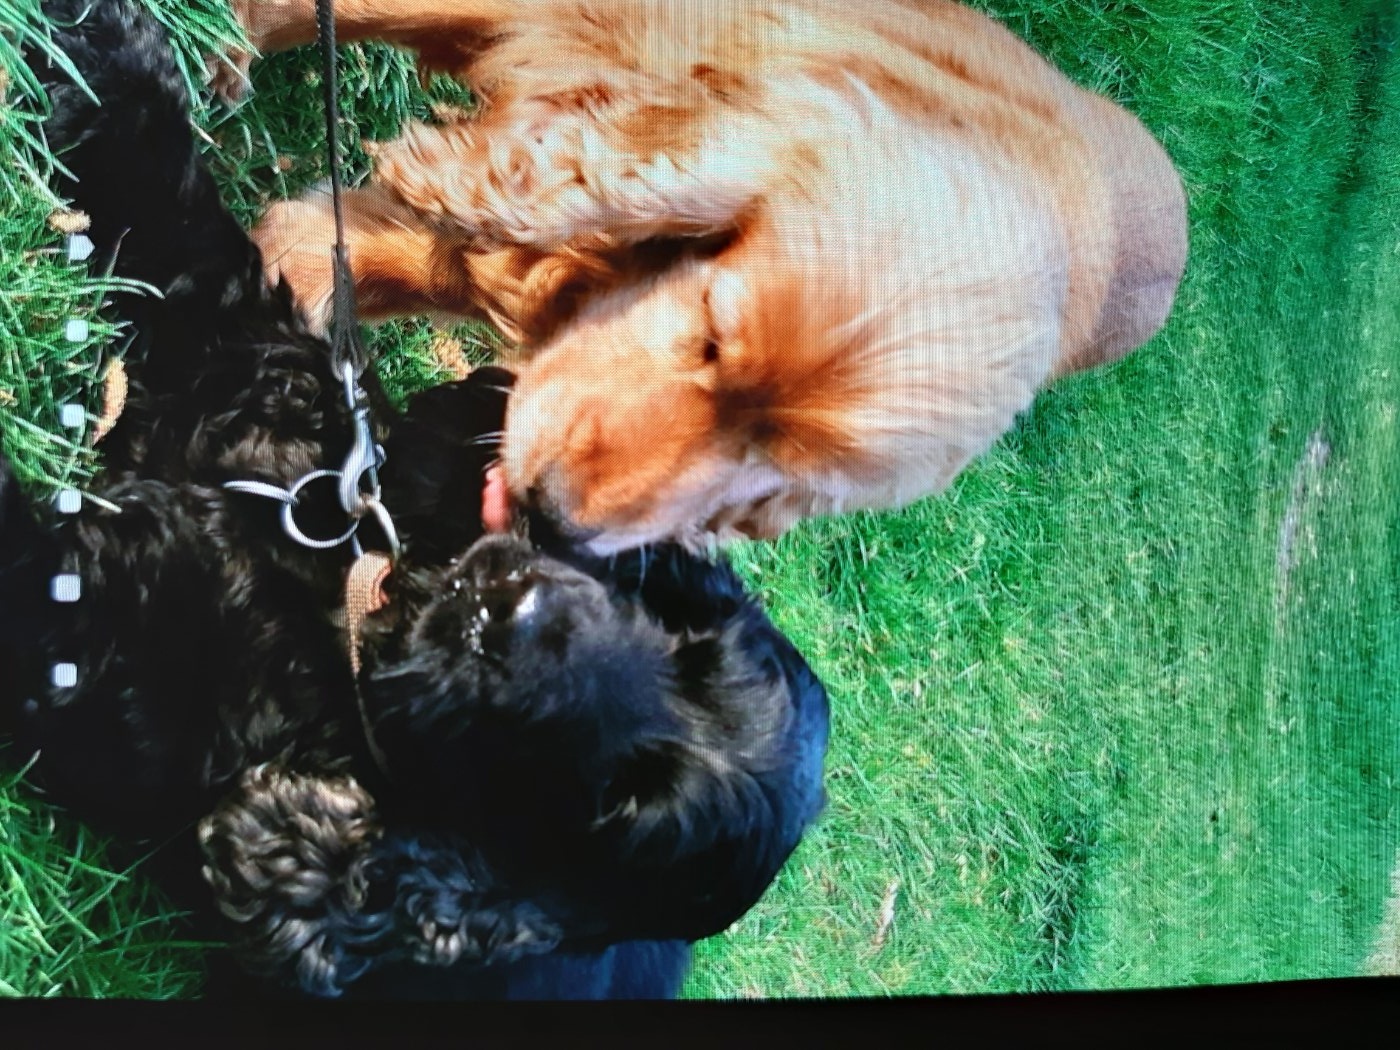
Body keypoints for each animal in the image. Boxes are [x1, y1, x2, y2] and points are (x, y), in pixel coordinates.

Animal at [1, 0, 829, 999]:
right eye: (680, 628)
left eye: (616, 804)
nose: (513, 612)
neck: (344, 593)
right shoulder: (242, 352)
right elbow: (175, 218)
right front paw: (105, 47)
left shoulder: (103, 658)